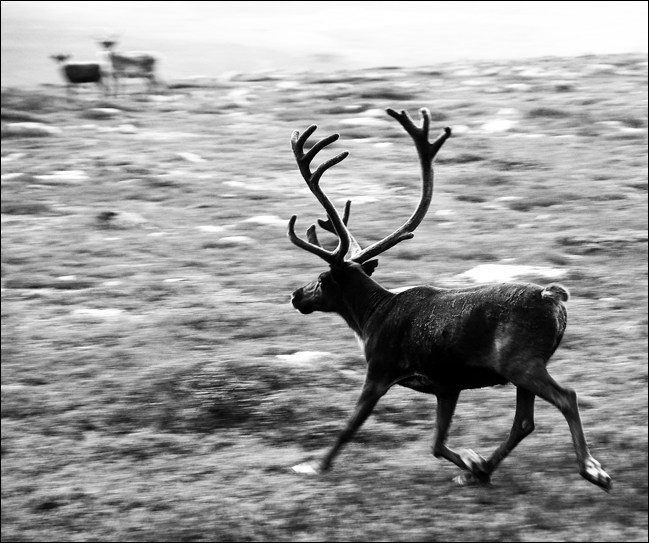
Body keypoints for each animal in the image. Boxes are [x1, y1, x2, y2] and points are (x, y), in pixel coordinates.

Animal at [286, 107, 612, 492]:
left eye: (322, 279)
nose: (295, 295)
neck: (369, 318)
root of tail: (553, 297)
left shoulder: (380, 369)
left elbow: (351, 426)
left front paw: (314, 466)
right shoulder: (447, 385)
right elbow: (437, 443)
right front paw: (472, 462)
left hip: (522, 362)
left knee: (566, 397)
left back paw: (592, 470)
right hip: (521, 369)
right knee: (524, 422)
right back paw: (484, 469)